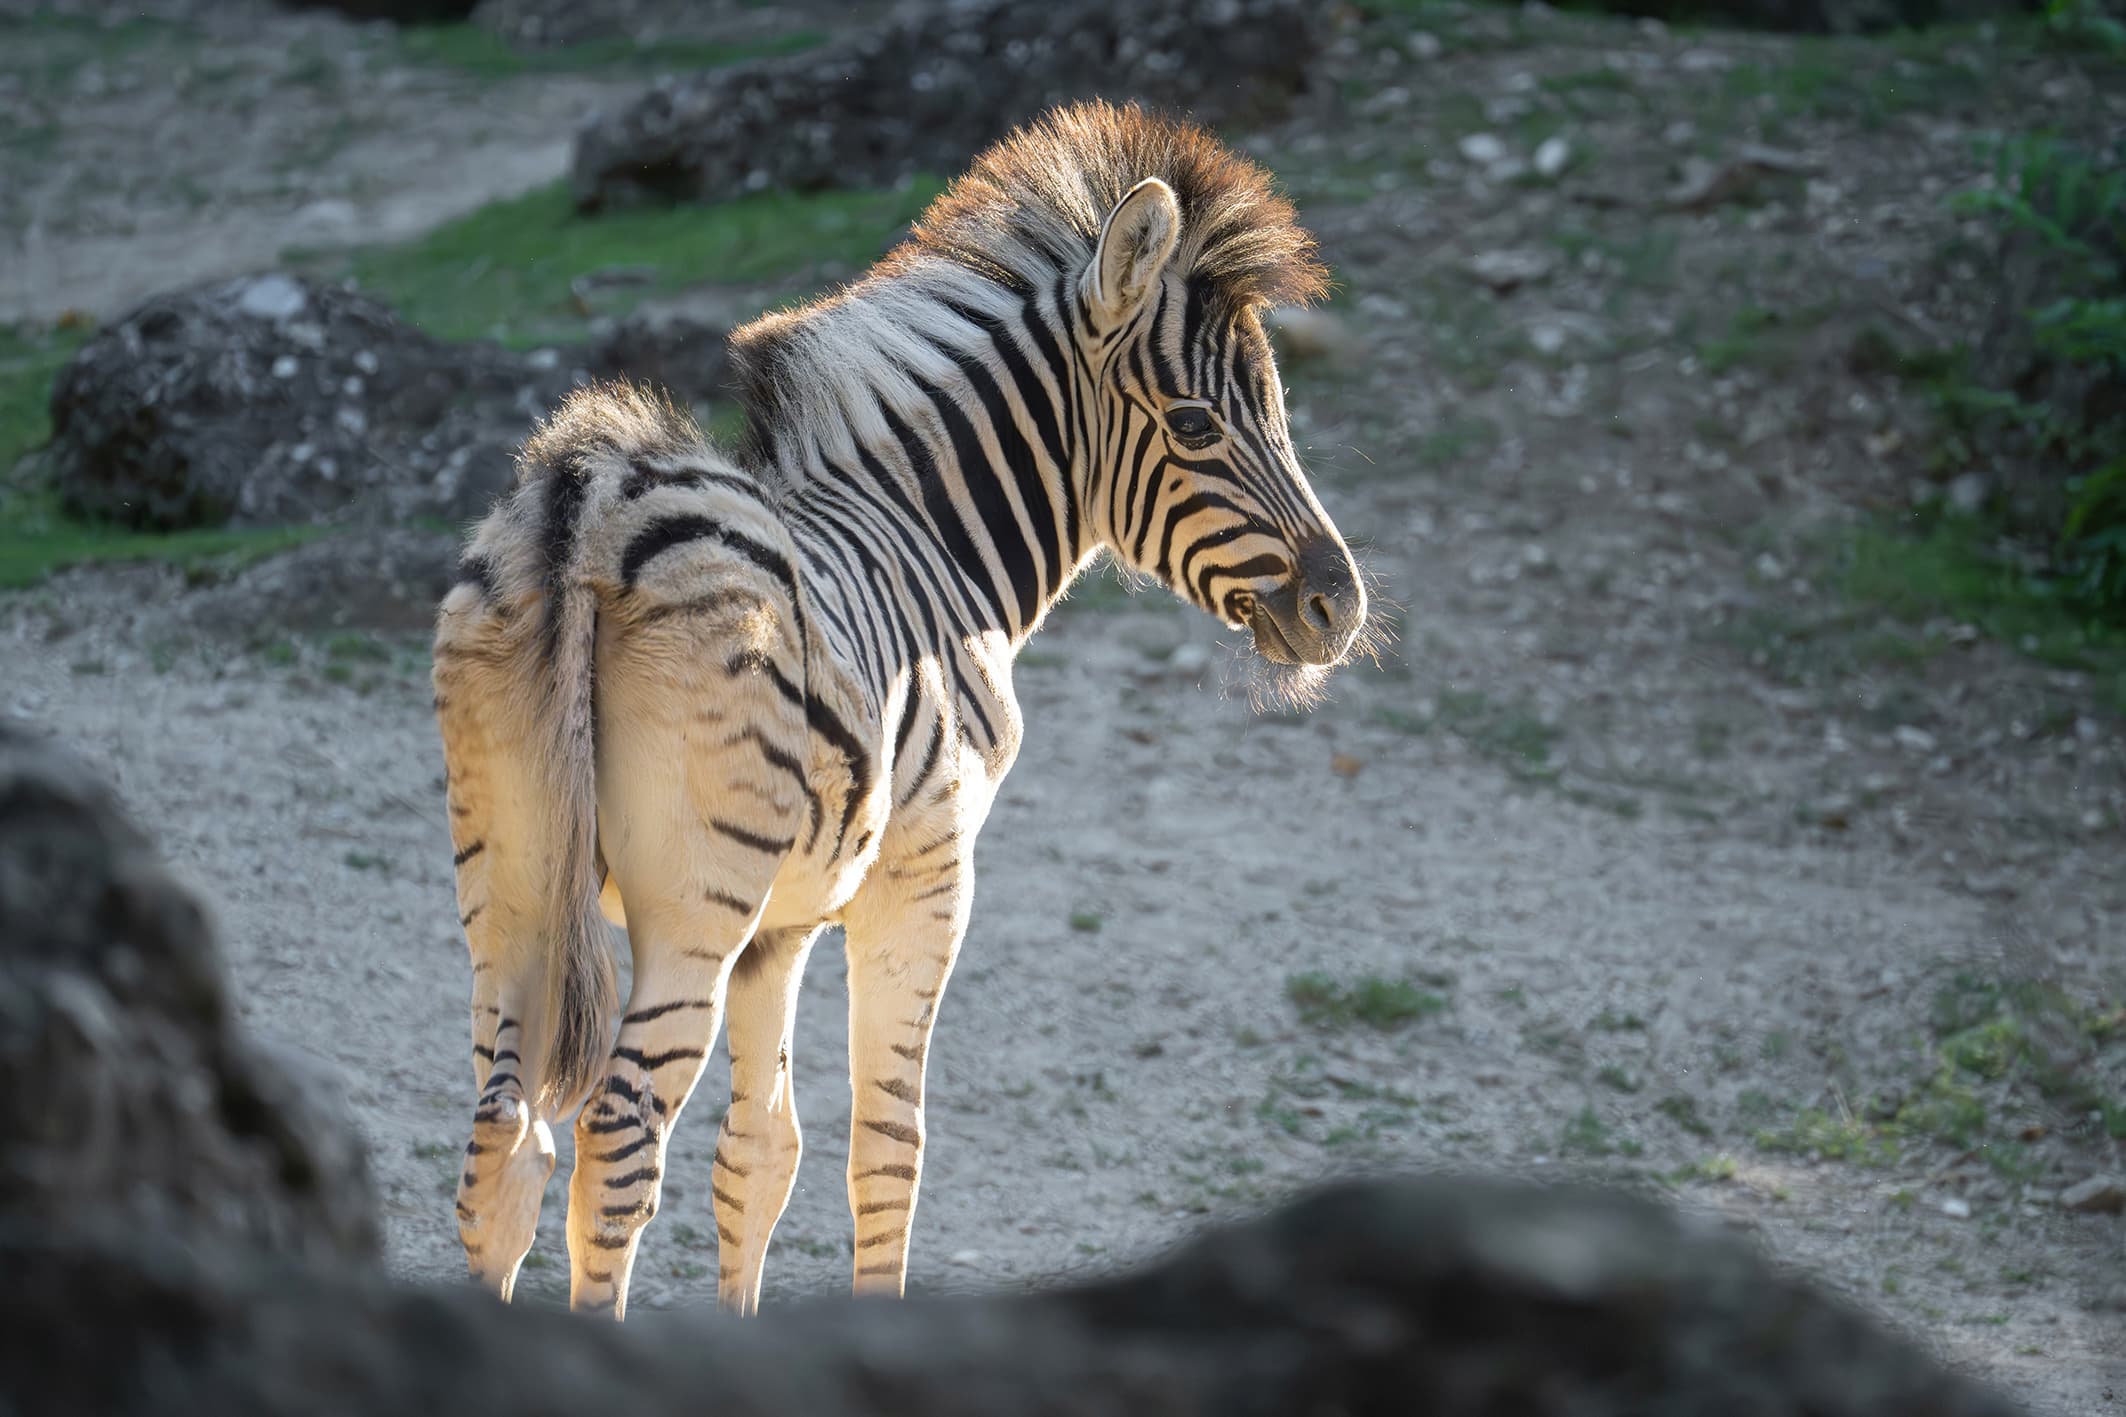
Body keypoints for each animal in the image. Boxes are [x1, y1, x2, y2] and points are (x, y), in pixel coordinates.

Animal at [431, 99, 1371, 1319]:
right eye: (1198, 423)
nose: (1341, 606)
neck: (930, 536)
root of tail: (588, 503)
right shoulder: (923, 881)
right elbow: (887, 1152)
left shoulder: (780, 924)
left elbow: (760, 1154)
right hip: (689, 899)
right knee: (616, 1134)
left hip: (510, 875)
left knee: (503, 1144)